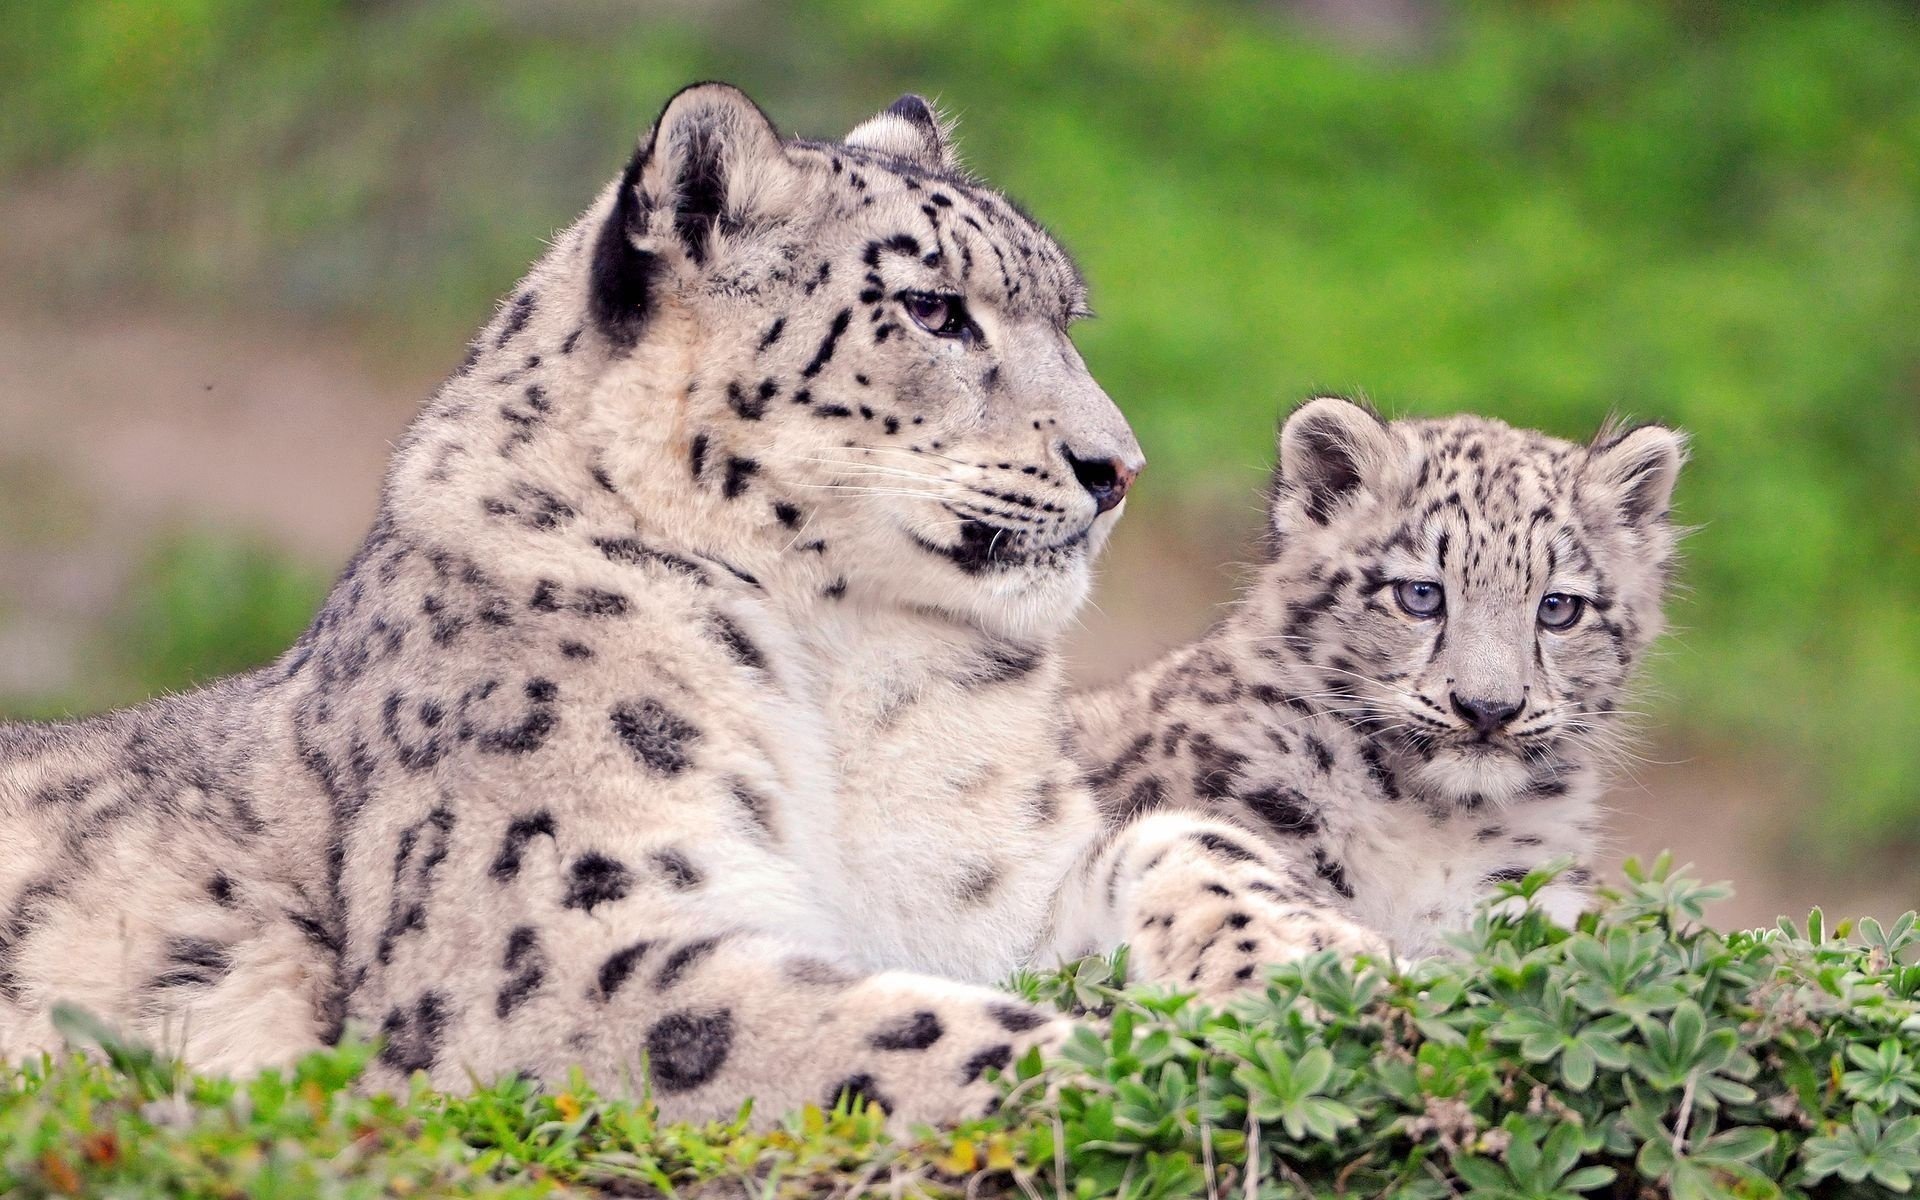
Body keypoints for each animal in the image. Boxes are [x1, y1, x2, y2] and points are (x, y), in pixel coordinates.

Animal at [0, 84, 1382, 1121]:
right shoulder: (563, 948)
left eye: (1067, 315)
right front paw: (1178, 1071)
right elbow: (876, 1029)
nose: (1117, 467)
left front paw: (1335, 967)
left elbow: (1183, 842)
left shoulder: (991, 882)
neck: (855, 680)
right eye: (934, 308)